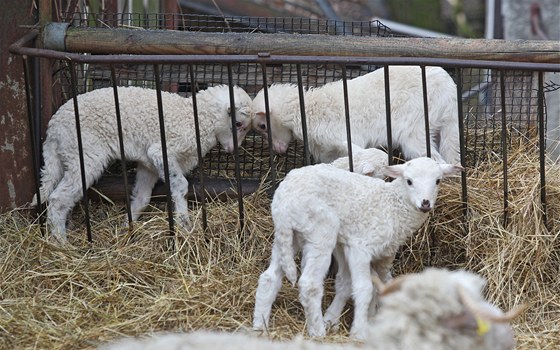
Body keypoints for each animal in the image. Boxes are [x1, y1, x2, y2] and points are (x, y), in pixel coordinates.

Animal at [252, 156, 462, 340]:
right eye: (409, 181)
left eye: (438, 180)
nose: (425, 204)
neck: (394, 207)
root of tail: (284, 196)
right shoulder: (360, 247)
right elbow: (364, 288)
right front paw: (359, 331)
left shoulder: (376, 252)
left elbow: (358, 284)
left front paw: (339, 319)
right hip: (321, 231)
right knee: (309, 284)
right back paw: (318, 332)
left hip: (290, 235)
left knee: (269, 277)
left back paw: (260, 326)